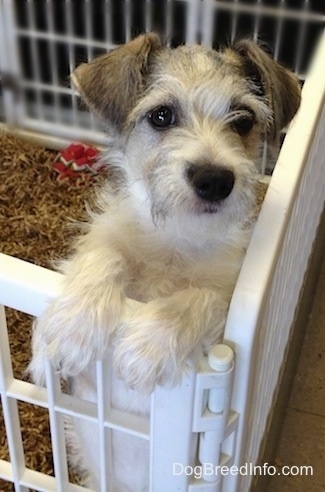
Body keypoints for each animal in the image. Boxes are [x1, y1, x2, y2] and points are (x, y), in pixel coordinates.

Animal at [29, 32, 298, 490]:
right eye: (161, 115)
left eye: (243, 120)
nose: (214, 180)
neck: (175, 240)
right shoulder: (104, 242)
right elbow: (105, 254)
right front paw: (74, 327)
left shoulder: (223, 296)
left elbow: (204, 297)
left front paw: (147, 347)